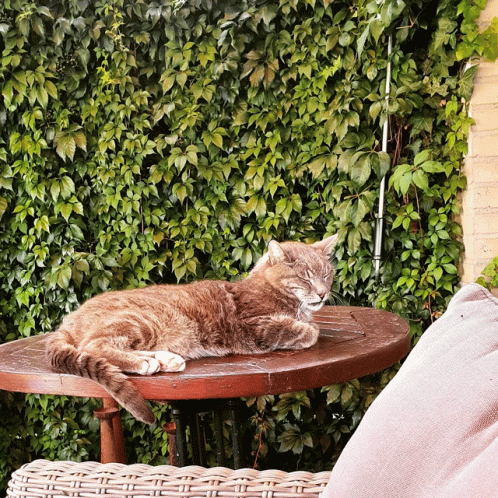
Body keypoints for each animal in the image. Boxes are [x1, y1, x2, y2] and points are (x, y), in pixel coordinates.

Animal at [45, 234, 338, 424]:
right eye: (305, 277)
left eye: (326, 275)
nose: (323, 293)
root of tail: (68, 319)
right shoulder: (254, 326)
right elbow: (305, 331)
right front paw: (307, 328)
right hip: (140, 320)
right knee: (95, 346)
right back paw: (145, 363)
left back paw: (165, 359)